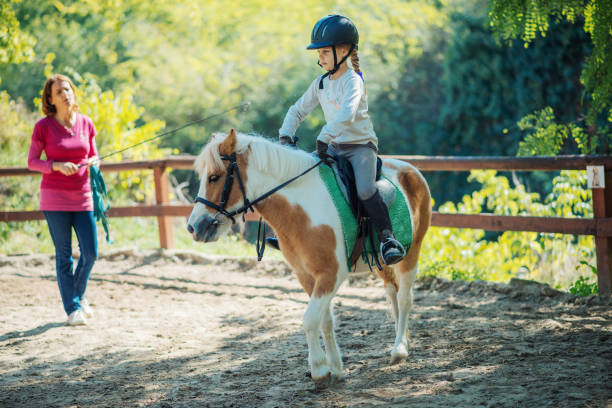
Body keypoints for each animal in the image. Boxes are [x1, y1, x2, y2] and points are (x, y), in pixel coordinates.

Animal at [186, 129, 430, 388]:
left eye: (214, 177)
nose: (194, 227)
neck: (301, 210)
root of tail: (410, 169)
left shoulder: (331, 275)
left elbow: (310, 319)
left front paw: (319, 370)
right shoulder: (305, 275)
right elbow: (325, 320)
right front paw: (336, 368)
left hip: (411, 254)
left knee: (404, 299)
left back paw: (400, 349)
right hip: (382, 262)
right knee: (392, 294)